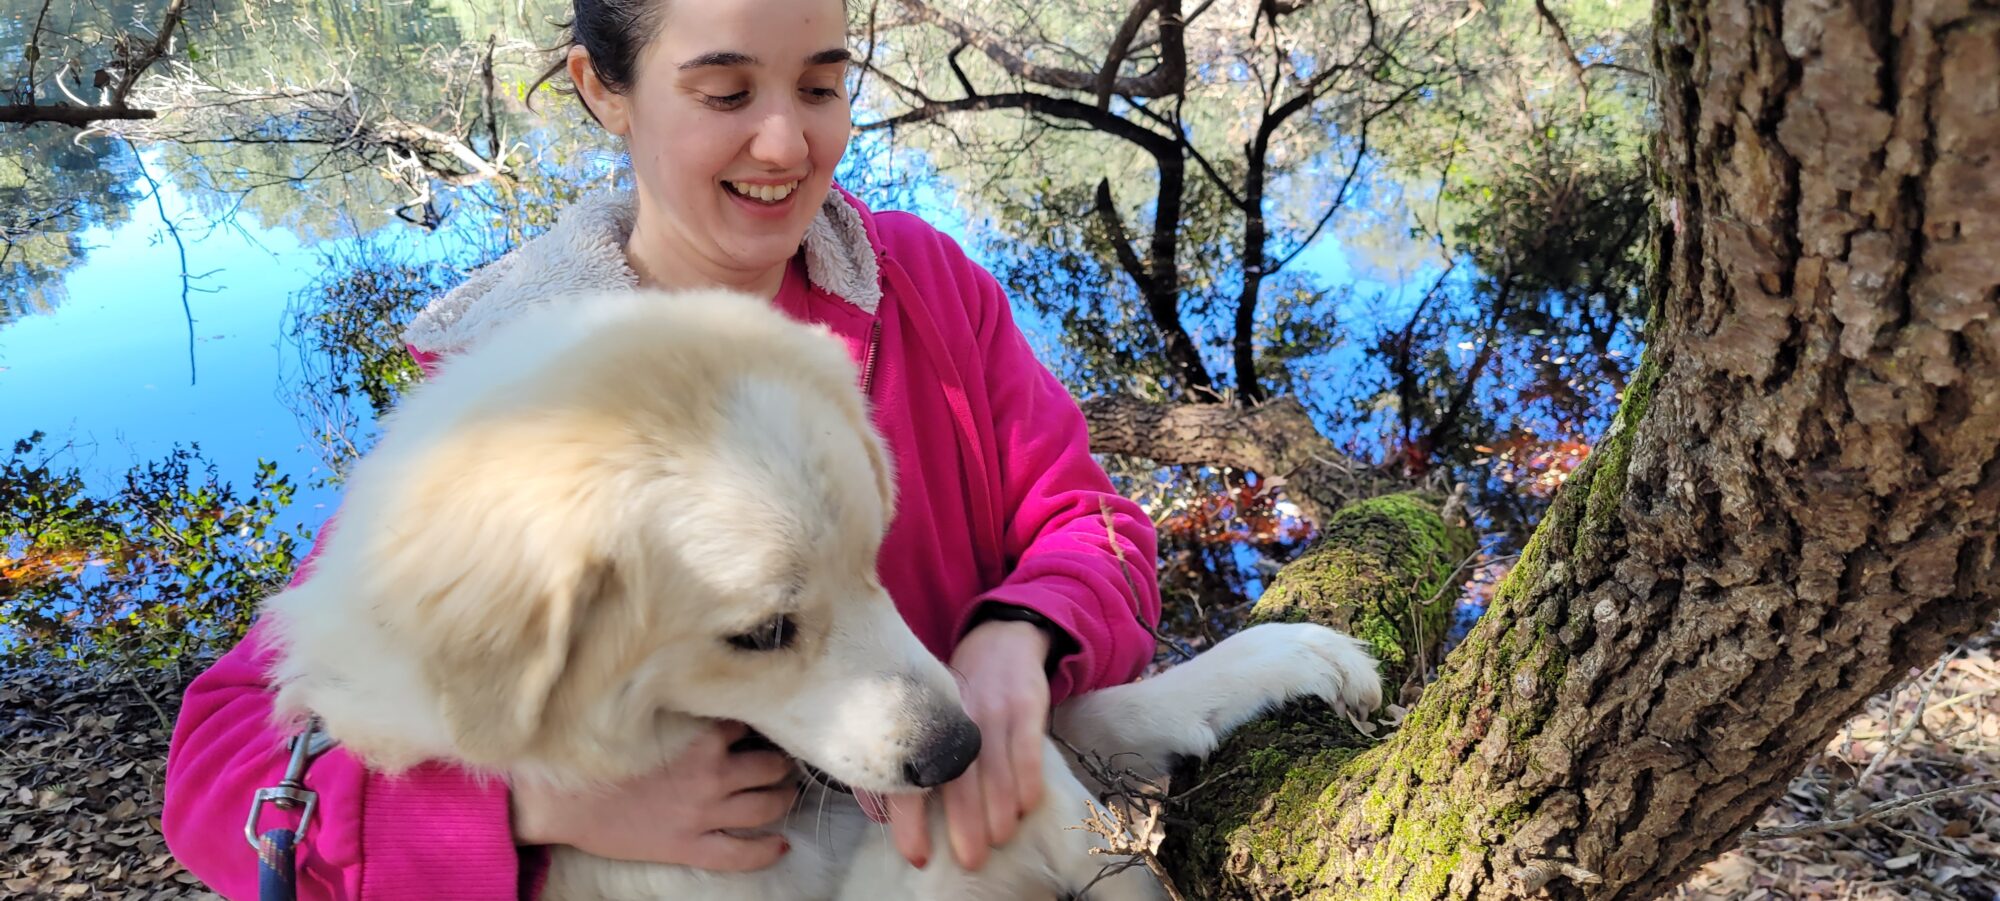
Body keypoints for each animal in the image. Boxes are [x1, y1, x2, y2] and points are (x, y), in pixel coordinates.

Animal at [266, 290, 1384, 901]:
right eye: (761, 632)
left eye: (874, 559)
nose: (952, 752)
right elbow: (1033, 802)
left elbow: (1076, 712)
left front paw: (1287, 658)